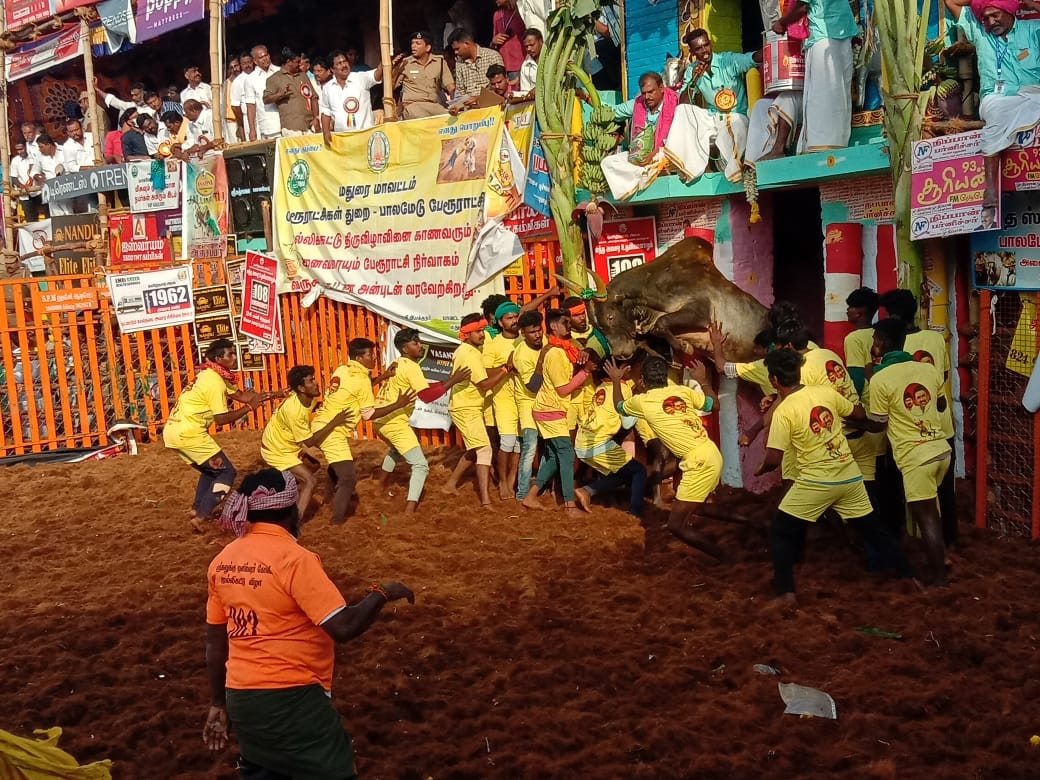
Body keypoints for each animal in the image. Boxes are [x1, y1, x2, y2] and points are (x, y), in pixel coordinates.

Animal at [565, 237, 769, 361]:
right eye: (597, 326)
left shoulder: (700, 311)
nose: (620, 354)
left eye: (610, 316)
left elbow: (661, 323)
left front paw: (685, 347)